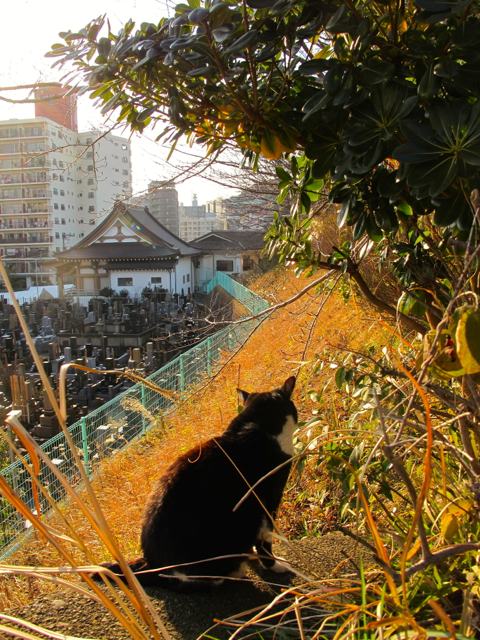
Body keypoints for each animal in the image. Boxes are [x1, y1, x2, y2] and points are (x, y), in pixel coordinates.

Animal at [97, 376, 297, 590]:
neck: (257, 426)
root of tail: (155, 567)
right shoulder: (269, 499)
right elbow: (266, 541)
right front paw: (275, 566)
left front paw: (252, 556)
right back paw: (237, 571)